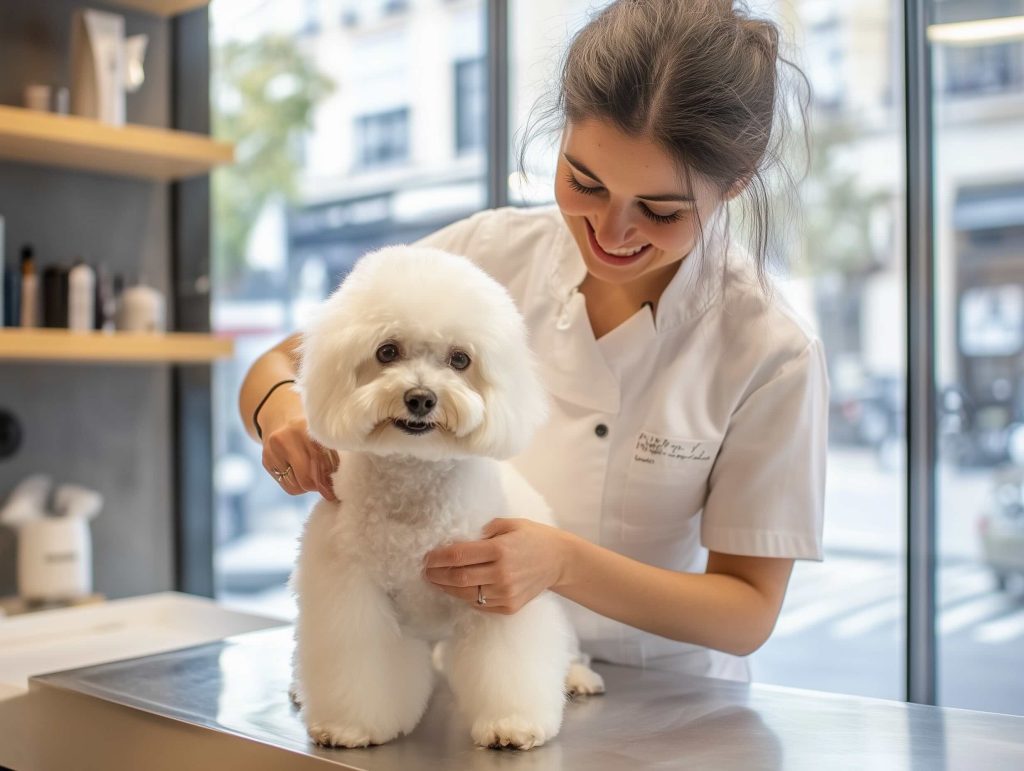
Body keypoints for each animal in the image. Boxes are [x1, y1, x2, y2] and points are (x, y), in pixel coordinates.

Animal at [292, 243, 602, 749]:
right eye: (387, 351)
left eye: (460, 359)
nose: (421, 398)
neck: (415, 486)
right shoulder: (352, 594)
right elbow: (361, 664)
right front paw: (351, 725)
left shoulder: (500, 588)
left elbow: (510, 661)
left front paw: (511, 724)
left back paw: (576, 677)